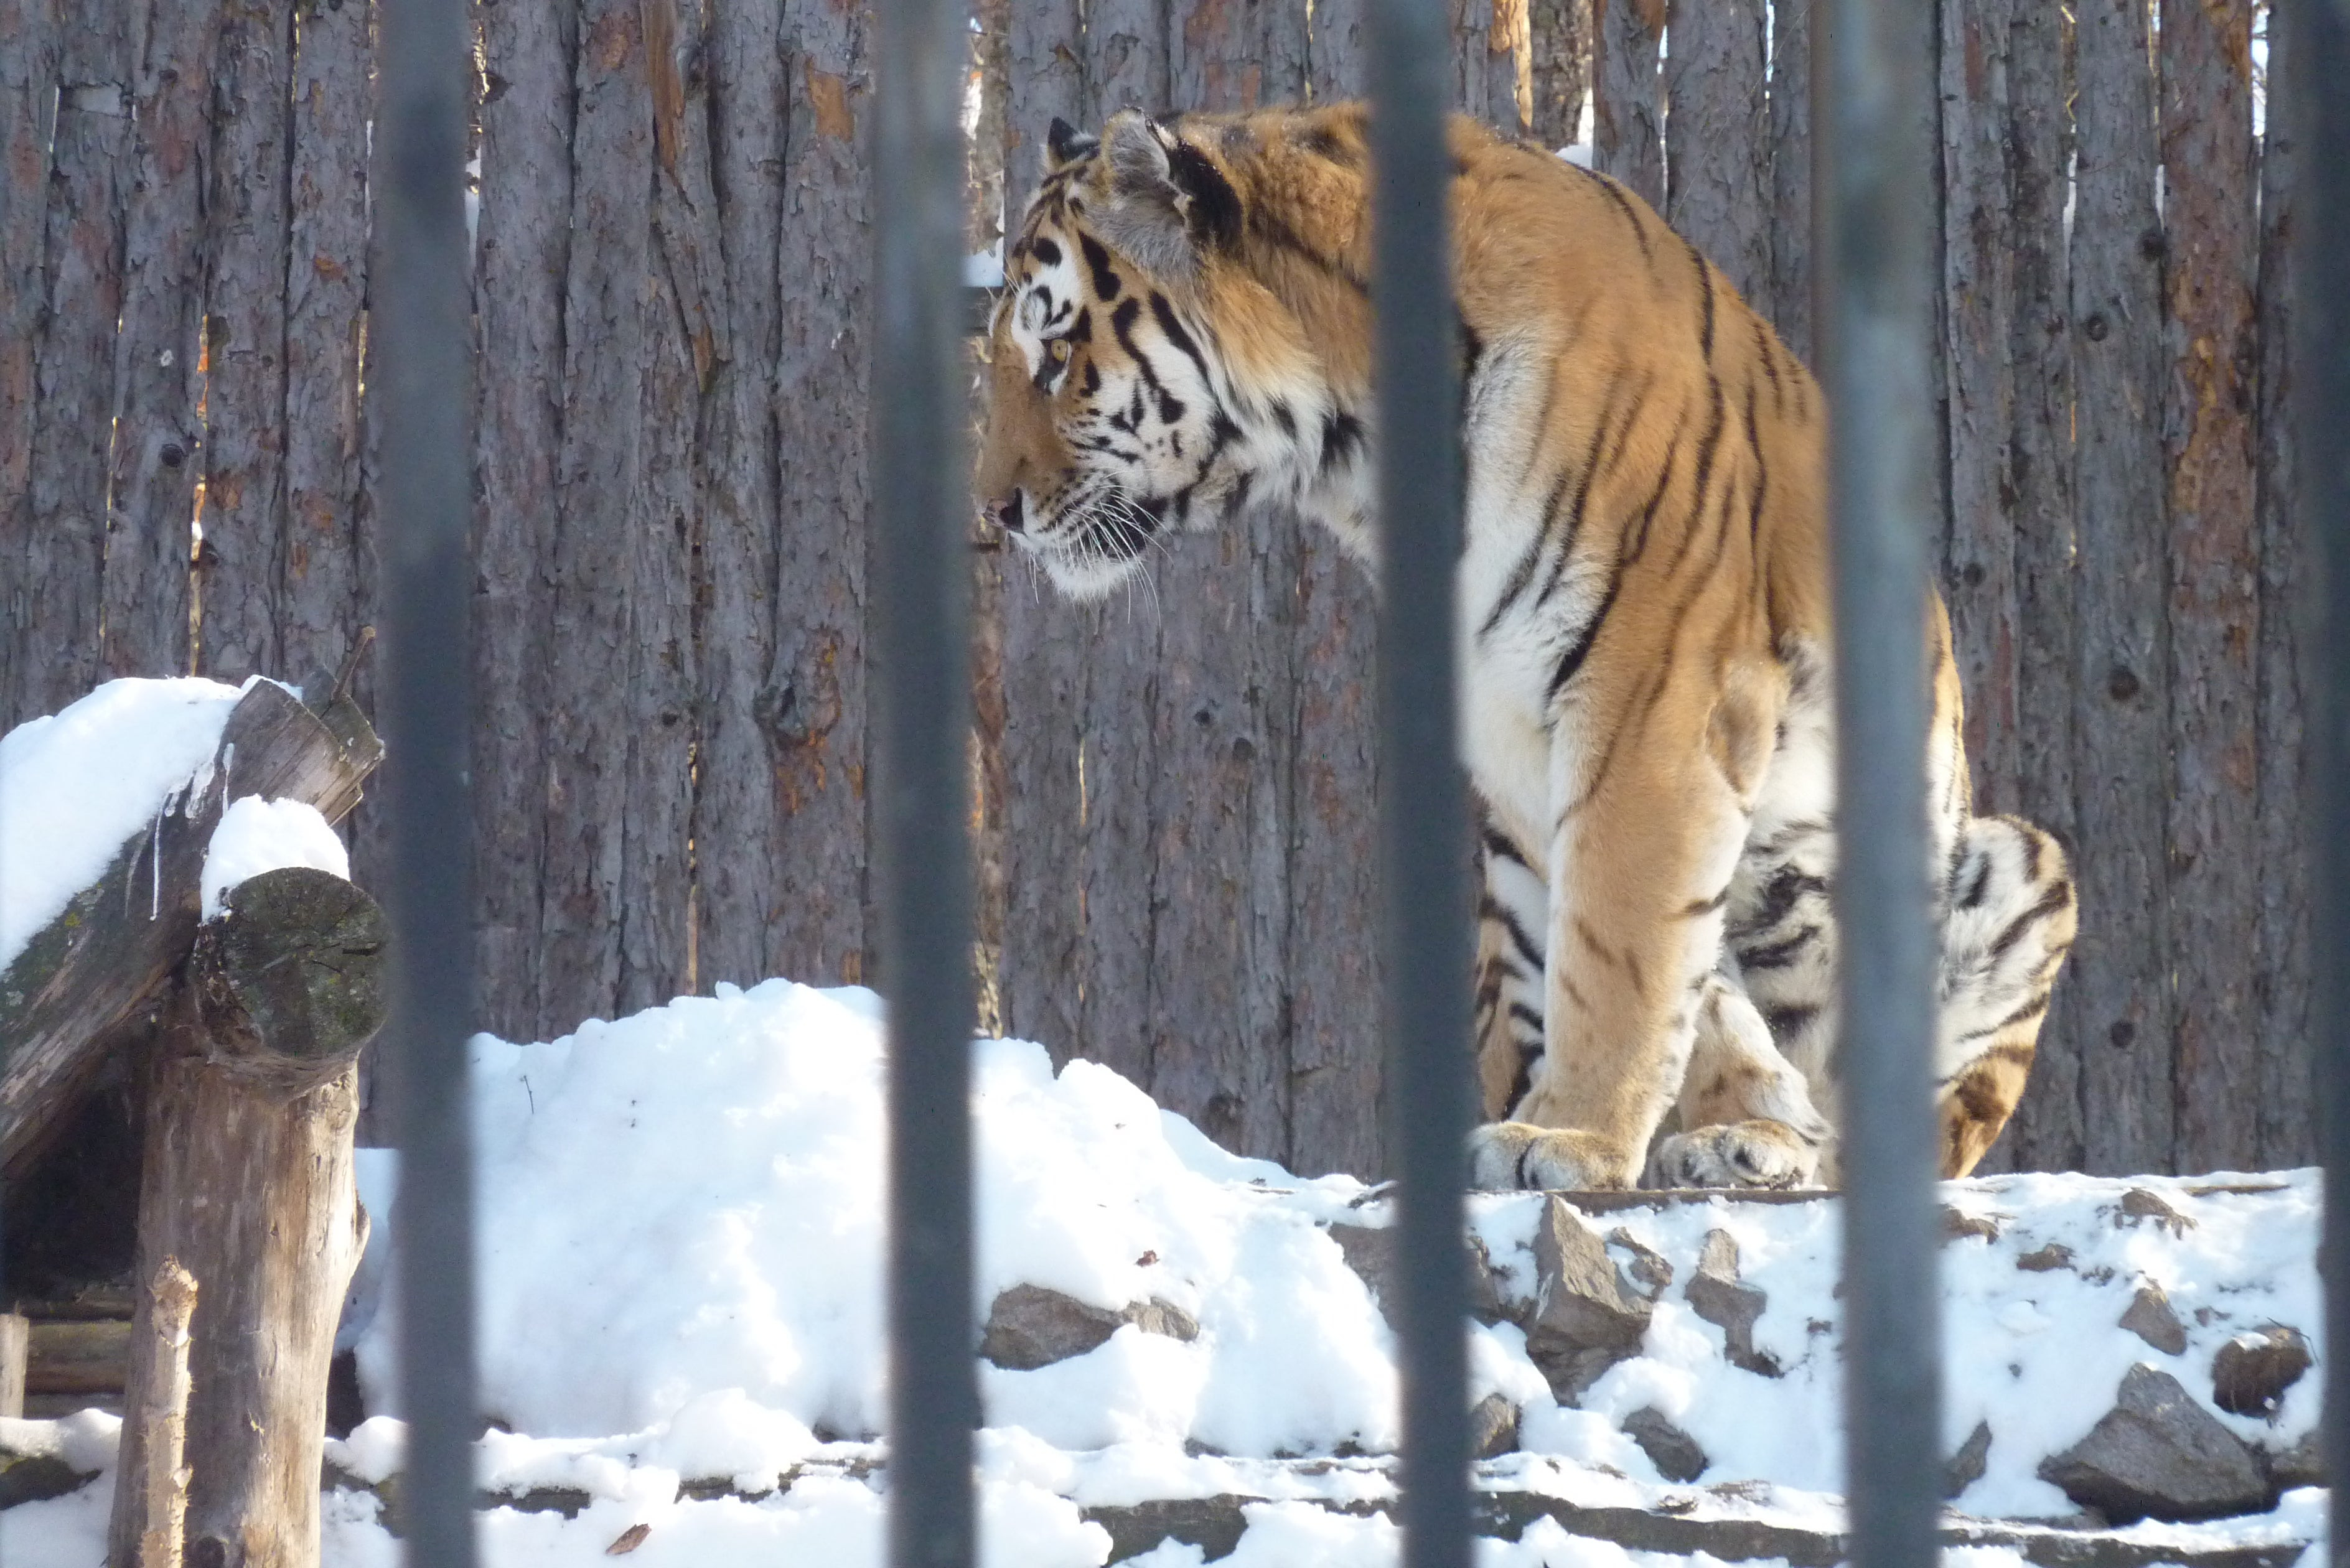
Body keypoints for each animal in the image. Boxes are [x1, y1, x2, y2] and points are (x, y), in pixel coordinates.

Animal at [973, 104, 2077, 1189]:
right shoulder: (1509, 719)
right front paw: (1698, 1116)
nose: (996, 514)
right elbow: (1679, 971)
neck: (1357, 458)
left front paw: (1571, 1138)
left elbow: (1627, 946)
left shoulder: (1657, 698)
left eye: (1057, 356)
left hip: (2017, 864)